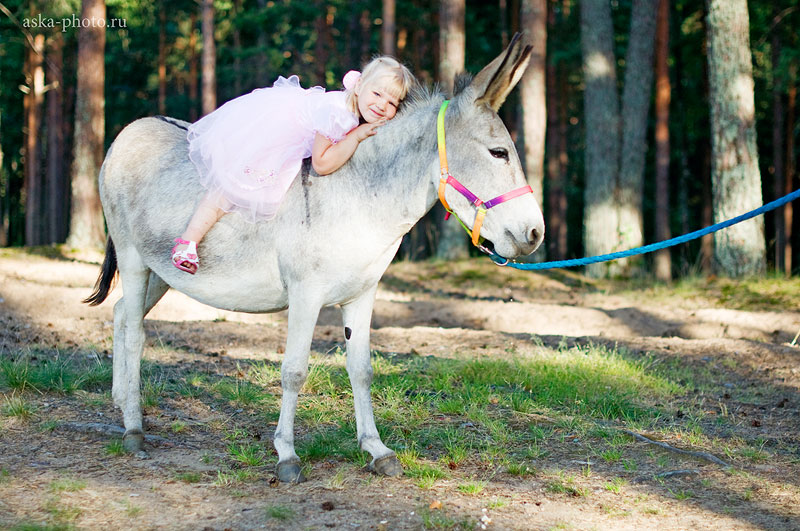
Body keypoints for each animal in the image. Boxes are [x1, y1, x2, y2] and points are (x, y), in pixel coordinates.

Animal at [84, 35, 544, 483]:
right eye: (499, 153)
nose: (536, 234)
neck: (358, 194)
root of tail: (133, 128)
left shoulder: (362, 295)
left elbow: (362, 369)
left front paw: (376, 450)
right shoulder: (305, 295)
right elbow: (294, 371)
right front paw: (287, 456)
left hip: (161, 271)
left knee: (123, 314)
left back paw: (121, 401)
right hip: (133, 257)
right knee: (136, 332)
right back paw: (133, 429)